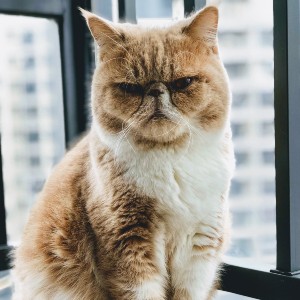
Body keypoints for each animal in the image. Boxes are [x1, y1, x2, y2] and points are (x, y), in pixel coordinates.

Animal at [13, 5, 234, 300]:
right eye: (130, 88)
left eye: (183, 83)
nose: (155, 92)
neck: (170, 159)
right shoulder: (128, 240)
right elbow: (142, 290)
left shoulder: (200, 243)